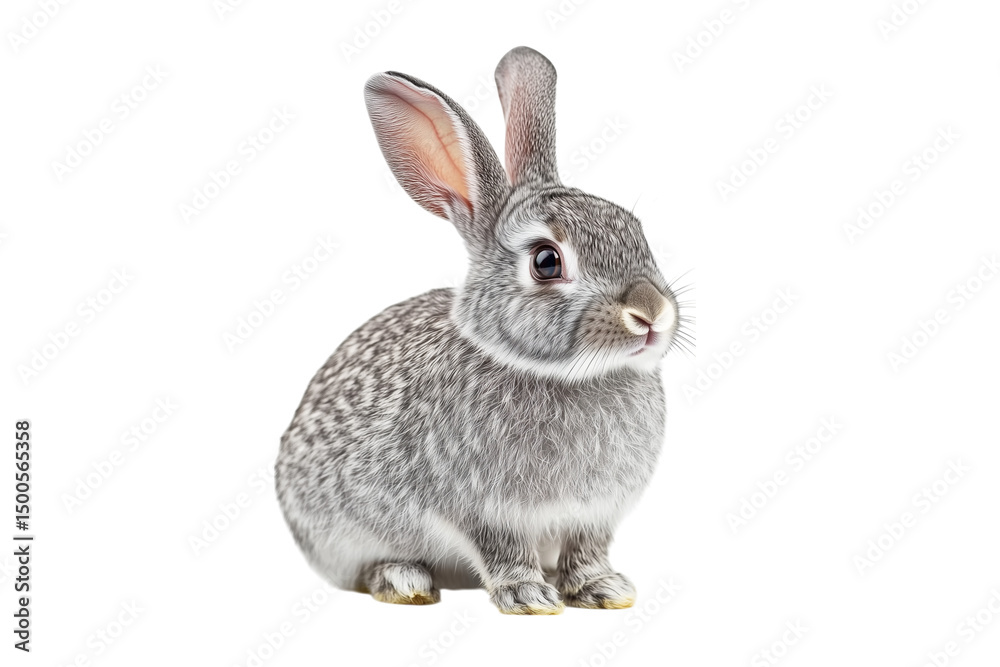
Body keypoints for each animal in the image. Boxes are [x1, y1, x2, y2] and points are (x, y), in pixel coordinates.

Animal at [275, 46, 688, 615]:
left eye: (636, 231)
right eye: (546, 261)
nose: (651, 313)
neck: (564, 374)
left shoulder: (594, 515)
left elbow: (587, 550)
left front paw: (604, 589)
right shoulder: (482, 510)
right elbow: (503, 549)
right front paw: (529, 596)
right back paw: (405, 581)